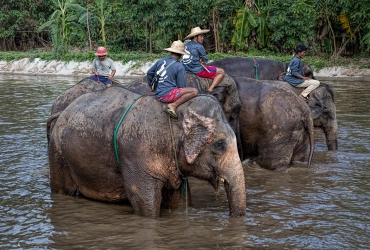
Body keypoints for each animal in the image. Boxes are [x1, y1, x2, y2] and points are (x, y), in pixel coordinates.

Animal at [48, 85, 246, 217]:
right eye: (219, 144)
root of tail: (62, 111)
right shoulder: (136, 152)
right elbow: (144, 200)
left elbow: (179, 199)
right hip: (57, 151)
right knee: (62, 190)